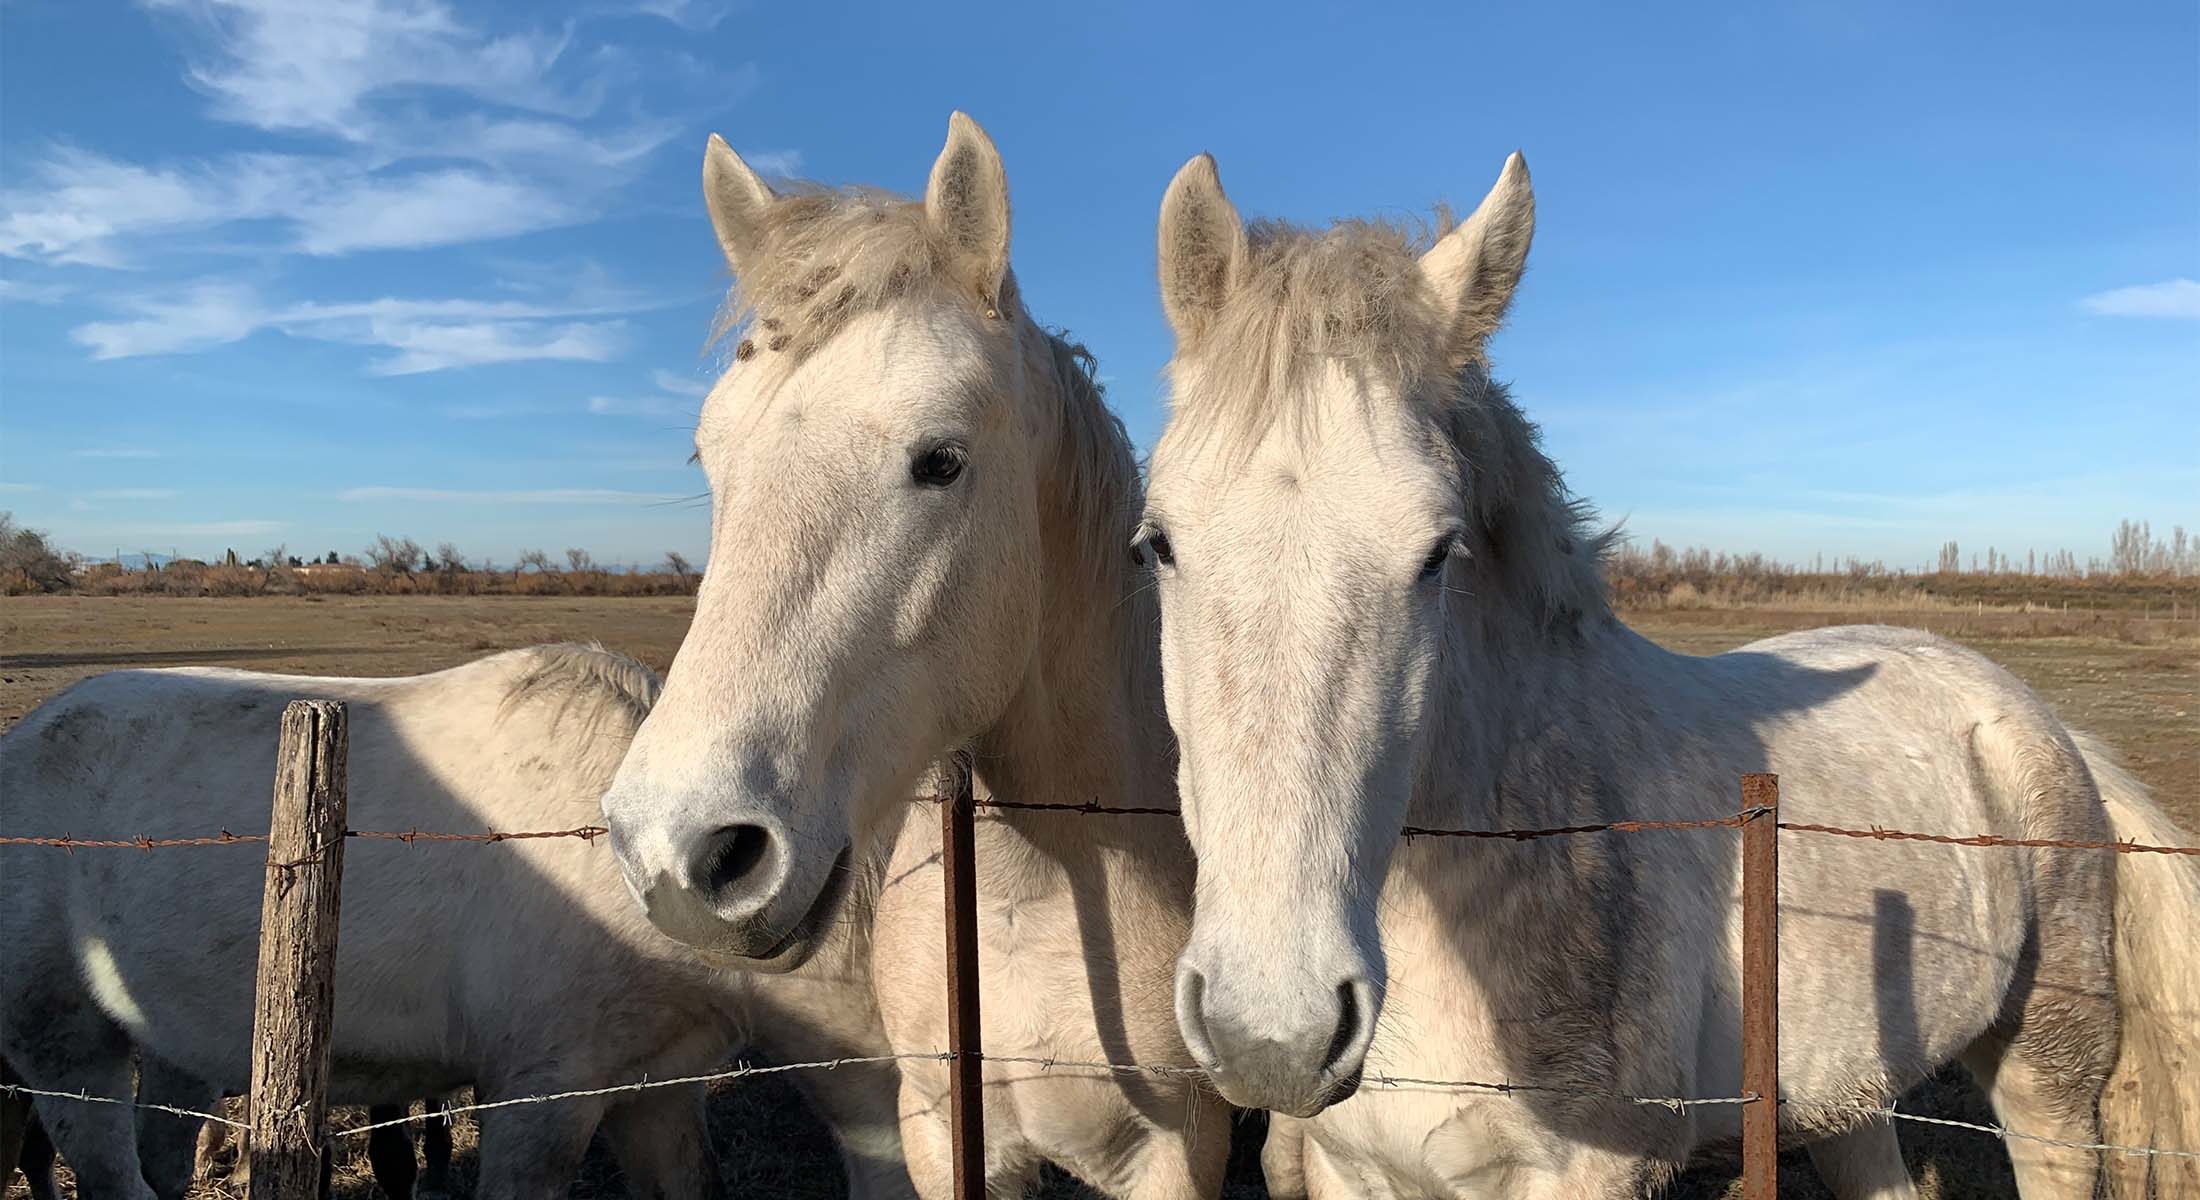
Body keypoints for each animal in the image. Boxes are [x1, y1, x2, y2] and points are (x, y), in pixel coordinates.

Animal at [594, 114, 1232, 1197]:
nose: (685, 857)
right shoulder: (939, 1128)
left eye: (941, 460)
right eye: (709, 458)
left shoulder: (1182, 1154)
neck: (1042, 904)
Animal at [1135, 151, 2200, 1197]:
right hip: (1850, 1096)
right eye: (1159, 544)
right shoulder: (1357, 1173)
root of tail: (2043, 722)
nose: (1273, 1033)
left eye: (1438, 554)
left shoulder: (1599, 1173)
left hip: (2048, 1071)